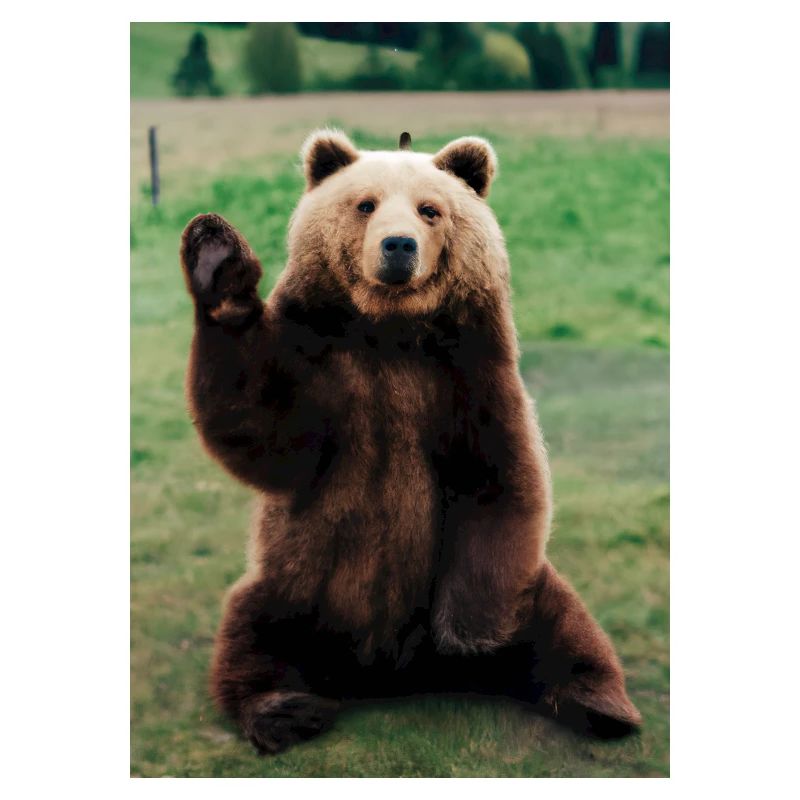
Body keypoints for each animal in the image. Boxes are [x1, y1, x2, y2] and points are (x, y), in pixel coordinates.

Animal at [179, 129, 642, 756]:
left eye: (430, 209)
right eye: (365, 204)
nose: (398, 246)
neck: (390, 330)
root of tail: (390, 674)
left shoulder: (470, 377)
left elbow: (504, 482)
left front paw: (468, 632)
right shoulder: (326, 367)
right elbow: (264, 431)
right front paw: (218, 261)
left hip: (521, 589)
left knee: (562, 624)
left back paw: (600, 704)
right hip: (297, 587)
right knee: (253, 631)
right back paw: (284, 710)